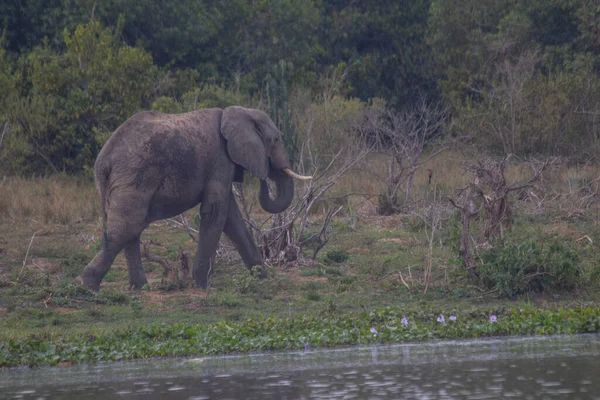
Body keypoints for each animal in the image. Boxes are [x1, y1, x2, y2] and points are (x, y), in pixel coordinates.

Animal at [78, 106, 312, 292]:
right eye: (275, 140)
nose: (265, 174)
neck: (238, 112)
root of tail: (104, 159)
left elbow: (232, 219)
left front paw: (263, 279)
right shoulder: (220, 159)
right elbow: (215, 211)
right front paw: (203, 286)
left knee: (130, 229)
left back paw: (139, 288)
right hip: (135, 176)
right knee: (127, 227)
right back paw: (88, 287)